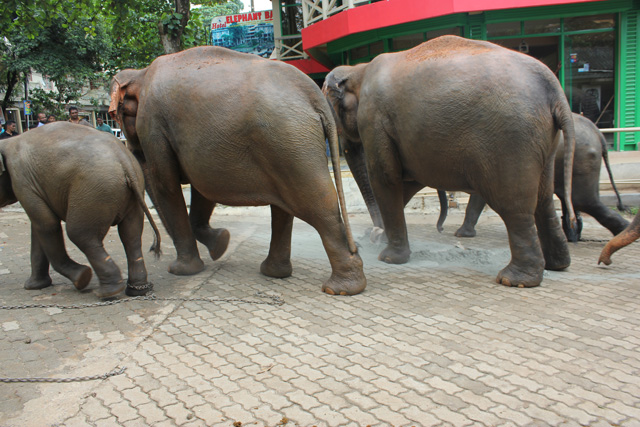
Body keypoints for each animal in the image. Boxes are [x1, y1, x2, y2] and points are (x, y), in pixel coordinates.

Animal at [0, 122, 161, 299]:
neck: (7, 142)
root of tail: (124, 160)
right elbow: (38, 227)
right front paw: (34, 286)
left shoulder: (22, 180)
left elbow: (46, 224)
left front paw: (80, 279)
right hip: (130, 189)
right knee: (131, 235)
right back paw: (137, 290)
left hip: (94, 191)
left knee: (80, 234)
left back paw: (106, 292)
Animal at [109, 46, 366, 296]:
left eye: (117, 118)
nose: (155, 250)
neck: (141, 74)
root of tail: (314, 96)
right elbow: (201, 188)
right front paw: (221, 243)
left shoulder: (152, 123)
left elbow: (166, 185)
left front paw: (183, 270)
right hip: (285, 146)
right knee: (286, 206)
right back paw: (275, 272)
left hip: (290, 141)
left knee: (317, 203)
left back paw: (341, 289)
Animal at [324, 35, 578, 288]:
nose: (371, 235)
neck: (359, 69)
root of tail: (554, 88)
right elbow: (407, 181)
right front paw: (378, 238)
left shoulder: (374, 118)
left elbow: (385, 178)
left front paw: (387, 257)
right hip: (544, 140)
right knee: (544, 199)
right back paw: (557, 265)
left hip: (511, 139)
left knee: (514, 205)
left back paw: (514, 279)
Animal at [451, 113, 629, 240]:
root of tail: (598, 132)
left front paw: (460, 235)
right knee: (573, 199)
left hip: (582, 159)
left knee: (582, 199)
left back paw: (622, 233)